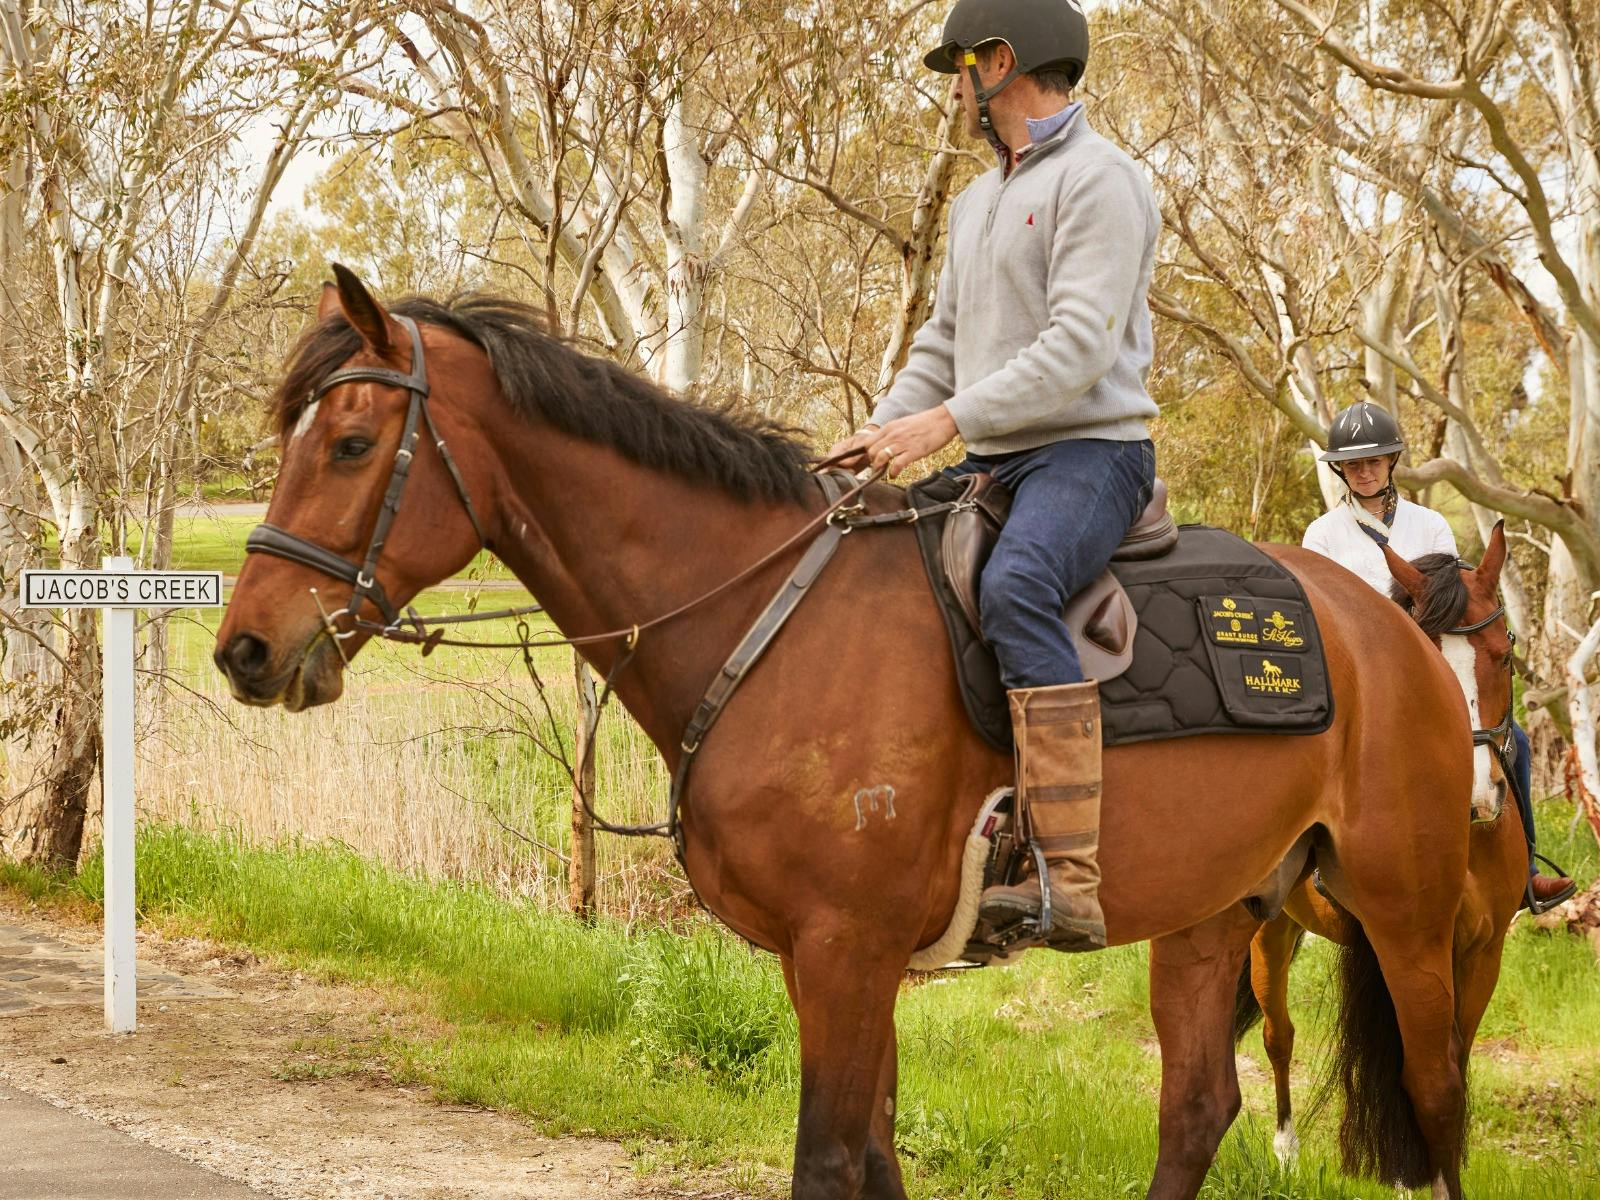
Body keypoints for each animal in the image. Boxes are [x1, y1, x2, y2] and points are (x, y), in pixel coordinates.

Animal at [1236, 535, 1529, 1176]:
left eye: (1503, 657)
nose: (1477, 798)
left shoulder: (1482, 953)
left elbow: (1454, 1059)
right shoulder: (1398, 946)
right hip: (1268, 932)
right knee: (1277, 1033)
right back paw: (1285, 1147)